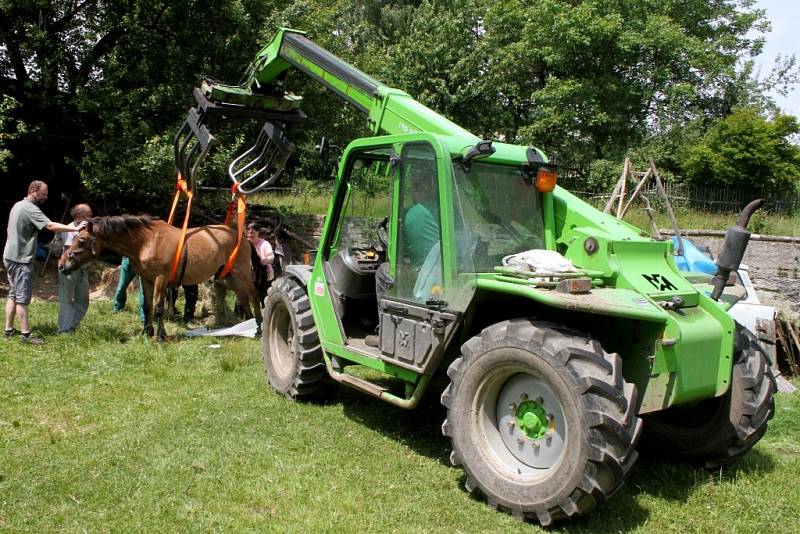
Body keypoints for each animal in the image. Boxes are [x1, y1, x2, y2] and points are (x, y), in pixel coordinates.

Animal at [59, 216, 260, 342]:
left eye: (82, 240)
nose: (62, 265)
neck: (146, 241)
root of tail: (243, 237)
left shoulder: (161, 280)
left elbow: (158, 309)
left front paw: (161, 336)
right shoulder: (146, 280)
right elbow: (147, 307)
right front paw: (146, 332)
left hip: (243, 274)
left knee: (254, 297)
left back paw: (258, 328)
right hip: (230, 277)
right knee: (244, 299)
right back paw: (248, 325)